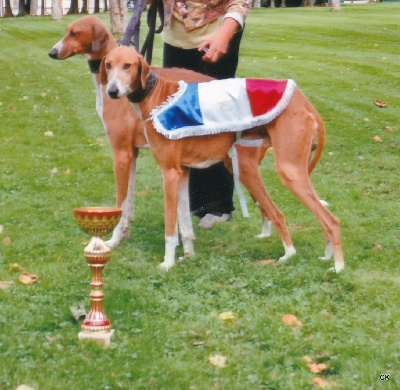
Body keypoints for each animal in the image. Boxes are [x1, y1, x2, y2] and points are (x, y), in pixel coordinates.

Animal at [99, 45, 344, 272]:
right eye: (108, 65)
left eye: (128, 65)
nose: (112, 91)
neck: (157, 95)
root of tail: (303, 101)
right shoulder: (182, 172)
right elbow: (184, 224)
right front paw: (188, 255)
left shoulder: (169, 173)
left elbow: (170, 227)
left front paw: (167, 263)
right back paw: (324, 256)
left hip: (286, 170)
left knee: (325, 220)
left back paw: (333, 265)